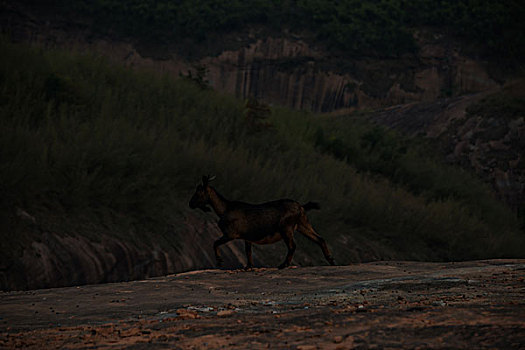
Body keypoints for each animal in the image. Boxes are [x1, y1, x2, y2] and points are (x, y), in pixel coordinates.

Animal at [188, 176, 336, 270]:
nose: (190, 204)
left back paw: (283, 265)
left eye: (199, 193)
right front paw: (249, 266)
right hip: (302, 224)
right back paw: (331, 261)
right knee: (319, 239)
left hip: (286, 227)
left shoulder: (231, 234)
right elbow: (248, 251)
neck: (224, 209)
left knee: (292, 246)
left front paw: (219, 261)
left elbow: (215, 243)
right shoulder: (247, 237)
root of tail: (301, 207)